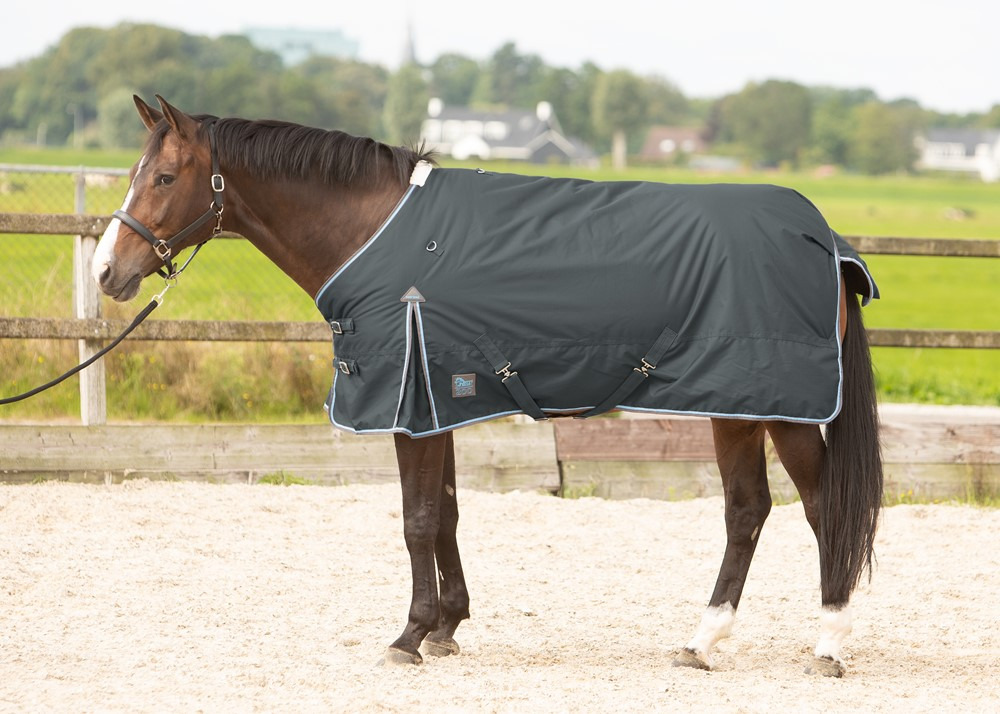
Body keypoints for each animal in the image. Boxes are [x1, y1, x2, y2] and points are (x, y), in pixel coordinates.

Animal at [93, 95, 883, 677]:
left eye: (163, 178)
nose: (107, 271)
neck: (377, 233)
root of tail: (824, 239)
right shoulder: (437, 397)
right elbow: (445, 514)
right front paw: (447, 625)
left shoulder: (409, 404)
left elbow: (415, 520)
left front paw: (409, 635)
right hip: (737, 405)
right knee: (748, 511)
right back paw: (703, 641)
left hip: (779, 407)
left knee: (822, 508)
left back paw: (829, 643)